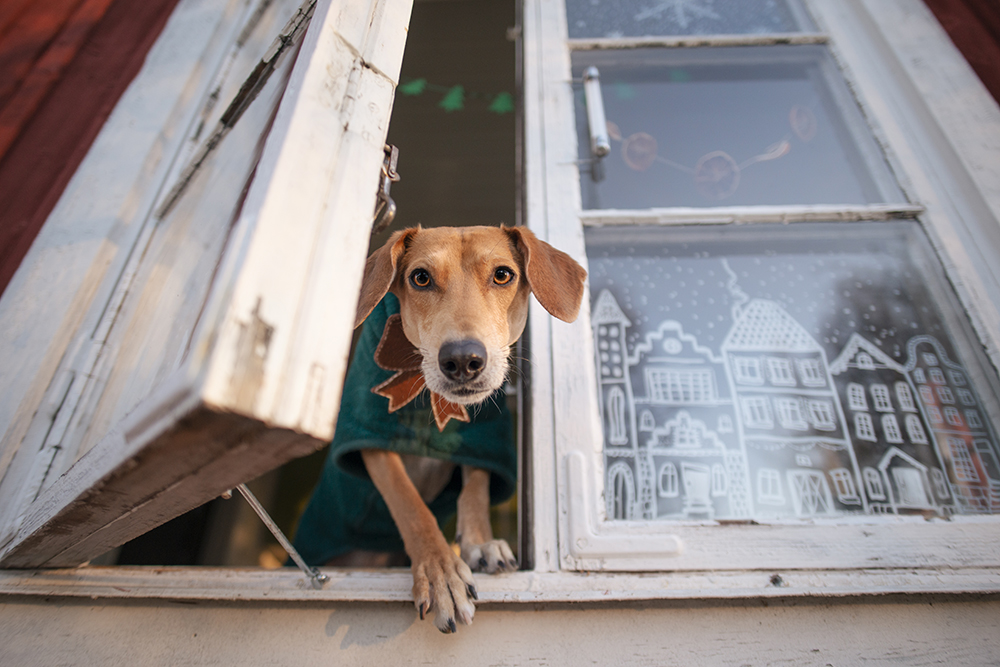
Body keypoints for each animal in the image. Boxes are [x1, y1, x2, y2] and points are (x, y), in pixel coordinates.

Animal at [292, 224, 584, 632]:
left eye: (503, 274)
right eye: (420, 278)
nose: (462, 360)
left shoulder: (483, 437)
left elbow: (475, 487)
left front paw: (480, 542)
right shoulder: (370, 437)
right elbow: (412, 507)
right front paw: (441, 573)